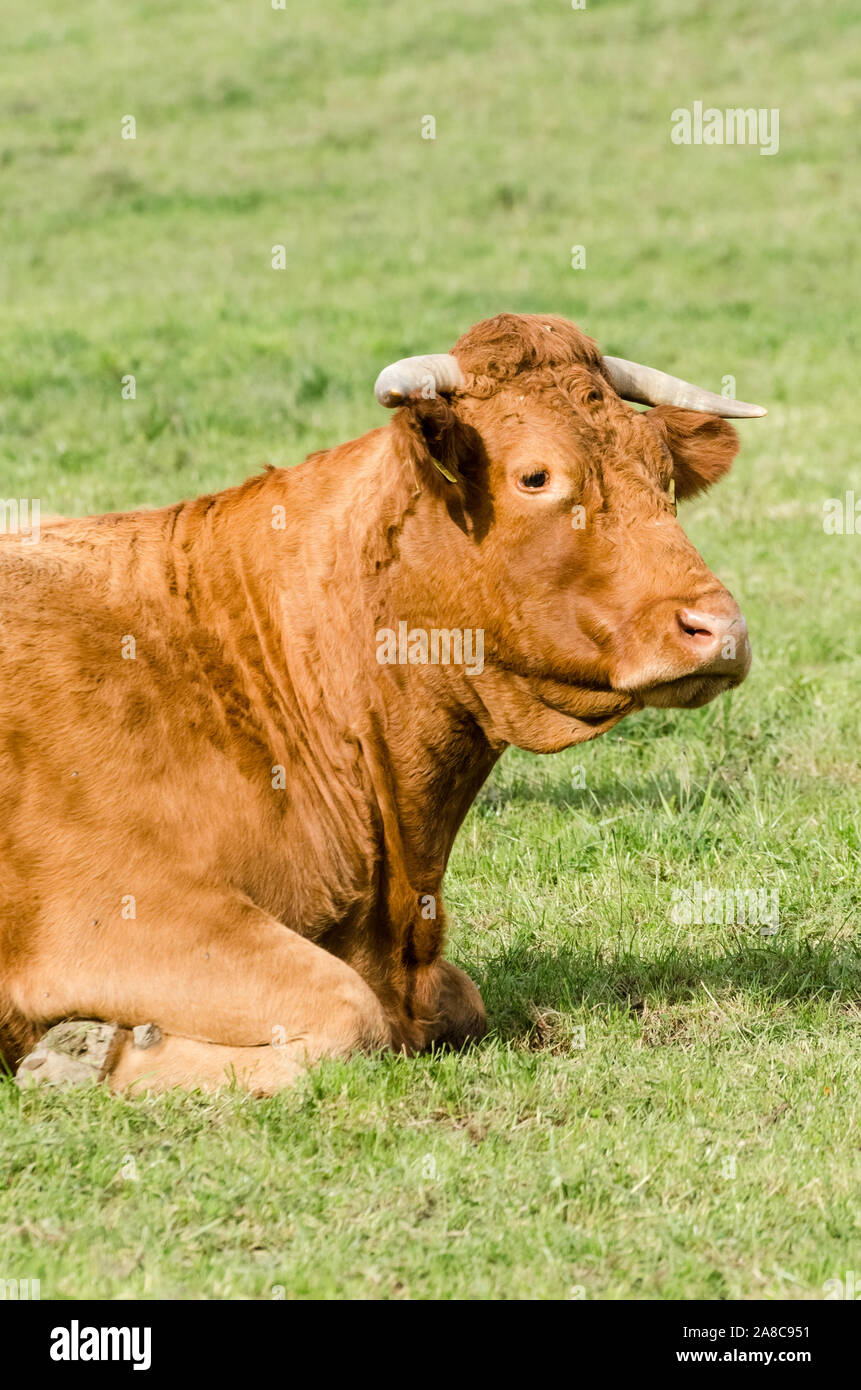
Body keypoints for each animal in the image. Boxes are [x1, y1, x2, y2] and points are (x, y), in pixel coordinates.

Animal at [0, 315, 767, 1095]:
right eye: (535, 476)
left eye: (664, 474)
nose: (720, 629)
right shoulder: (108, 913)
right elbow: (348, 1014)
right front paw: (83, 1051)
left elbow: (455, 998)